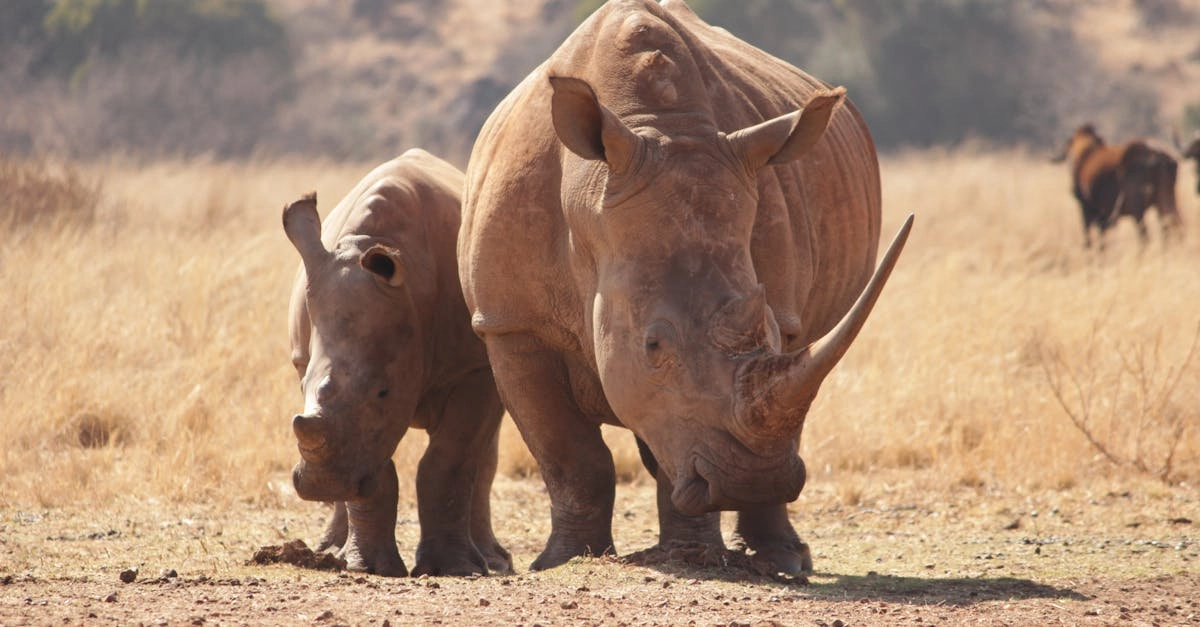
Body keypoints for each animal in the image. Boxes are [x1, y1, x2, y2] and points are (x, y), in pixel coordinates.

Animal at [284, 149, 511, 577]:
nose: (322, 486)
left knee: (483, 453)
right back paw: (331, 551)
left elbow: (450, 459)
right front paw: (368, 567)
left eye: (383, 392)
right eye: (301, 384)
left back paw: (493, 561)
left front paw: (453, 569)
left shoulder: (473, 367)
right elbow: (375, 465)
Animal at [459, 0, 911, 575]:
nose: (749, 481)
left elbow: (677, 434)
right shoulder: (510, 323)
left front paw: (692, 555)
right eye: (653, 345)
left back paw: (784, 561)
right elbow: (569, 454)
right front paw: (563, 561)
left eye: (770, 330)